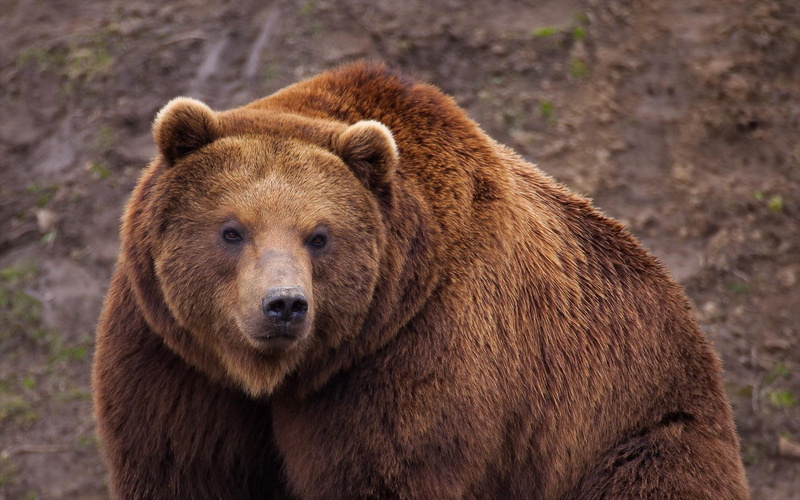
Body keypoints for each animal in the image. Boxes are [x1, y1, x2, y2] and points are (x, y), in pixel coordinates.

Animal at [92, 61, 749, 499]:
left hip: (626, 428)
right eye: (232, 230)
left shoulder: (414, 354)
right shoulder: (175, 358)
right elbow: (181, 466)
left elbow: (382, 470)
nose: (284, 305)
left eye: (319, 235)